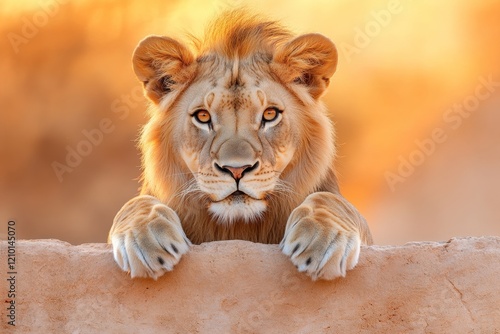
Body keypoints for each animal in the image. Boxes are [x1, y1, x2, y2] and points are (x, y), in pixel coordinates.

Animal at [108, 9, 372, 282]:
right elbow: (136, 204)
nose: (237, 170)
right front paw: (149, 242)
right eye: (203, 116)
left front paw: (320, 242)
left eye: (269, 114)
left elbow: (332, 201)